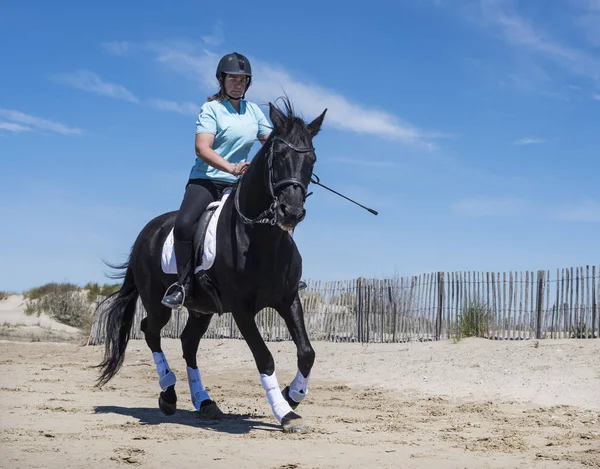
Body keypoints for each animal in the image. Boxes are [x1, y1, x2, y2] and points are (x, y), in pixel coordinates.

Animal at [96, 98, 326, 432]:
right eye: (279, 156)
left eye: (311, 159)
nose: (291, 212)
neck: (260, 237)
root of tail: (146, 233)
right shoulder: (242, 310)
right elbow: (265, 357)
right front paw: (285, 412)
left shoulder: (288, 299)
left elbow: (307, 352)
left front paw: (292, 396)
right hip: (158, 302)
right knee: (150, 331)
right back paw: (169, 396)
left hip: (201, 309)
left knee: (188, 343)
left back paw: (204, 402)